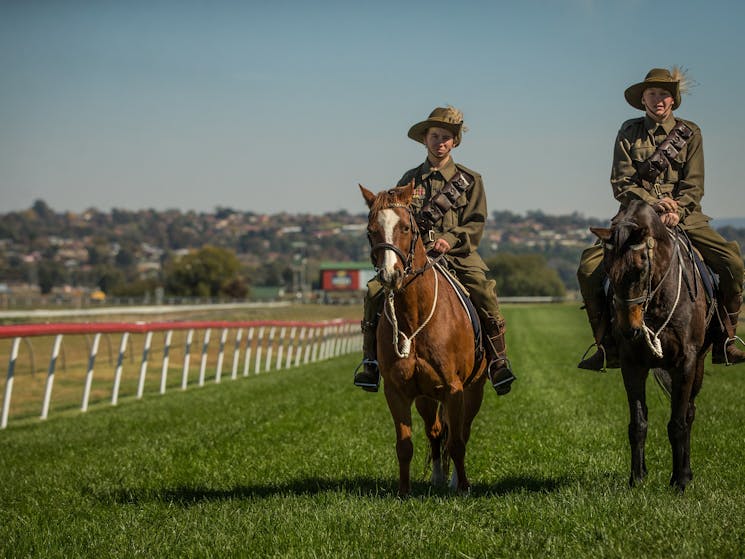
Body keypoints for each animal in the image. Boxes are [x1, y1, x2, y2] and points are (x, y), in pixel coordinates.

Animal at [360, 182, 488, 496]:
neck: (415, 317)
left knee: (460, 432)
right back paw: (439, 478)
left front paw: (463, 487)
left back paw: (453, 481)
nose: (389, 275)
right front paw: (404, 491)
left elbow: (457, 442)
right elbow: (405, 445)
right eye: (371, 230)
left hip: (474, 390)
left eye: (406, 227)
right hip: (426, 398)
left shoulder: (455, 389)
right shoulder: (397, 391)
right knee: (435, 431)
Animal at [588, 200, 712, 490]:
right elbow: (638, 423)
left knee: (689, 412)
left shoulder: (686, 363)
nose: (629, 329)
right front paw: (637, 477)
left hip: (699, 365)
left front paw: (680, 481)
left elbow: (678, 423)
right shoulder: (632, 364)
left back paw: (685, 472)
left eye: (640, 268)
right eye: (607, 270)